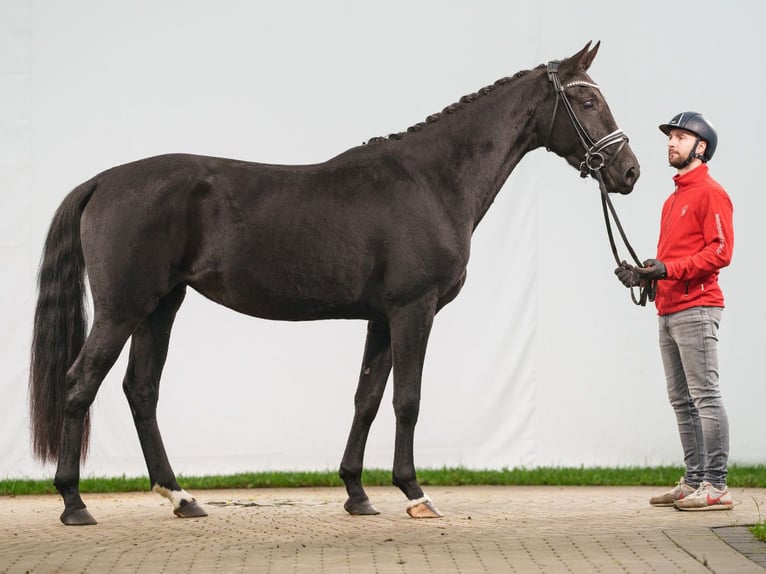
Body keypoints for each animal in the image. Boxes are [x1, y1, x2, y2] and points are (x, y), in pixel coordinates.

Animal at [28, 41, 640, 528]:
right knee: (81, 384)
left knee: (141, 390)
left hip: (160, 307)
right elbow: (407, 399)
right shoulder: (413, 310)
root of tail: (103, 181)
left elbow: (366, 399)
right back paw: (74, 503)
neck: (431, 181)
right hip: (122, 309)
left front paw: (356, 493)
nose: (629, 171)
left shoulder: (381, 318)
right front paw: (414, 493)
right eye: (587, 102)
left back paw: (181, 498)